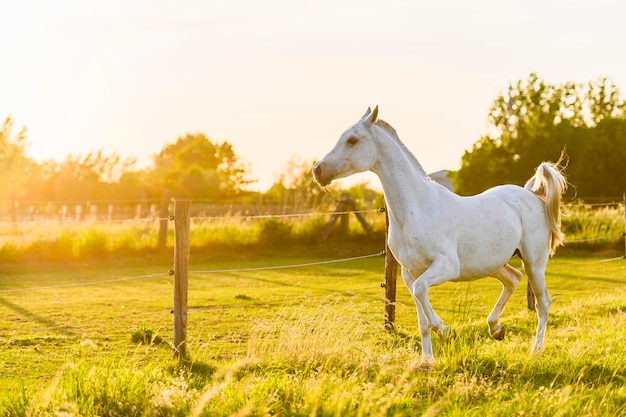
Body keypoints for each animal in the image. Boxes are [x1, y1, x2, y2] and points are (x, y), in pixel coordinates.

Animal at [312, 105, 564, 368]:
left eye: (352, 139)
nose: (318, 171)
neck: (416, 209)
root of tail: (532, 195)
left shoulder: (445, 266)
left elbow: (423, 296)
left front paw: (446, 330)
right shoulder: (410, 274)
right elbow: (421, 318)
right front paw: (426, 361)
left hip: (534, 263)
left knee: (543, 303)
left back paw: (535, 350)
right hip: (492, 264)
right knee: (513, 279)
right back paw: (496, 329)